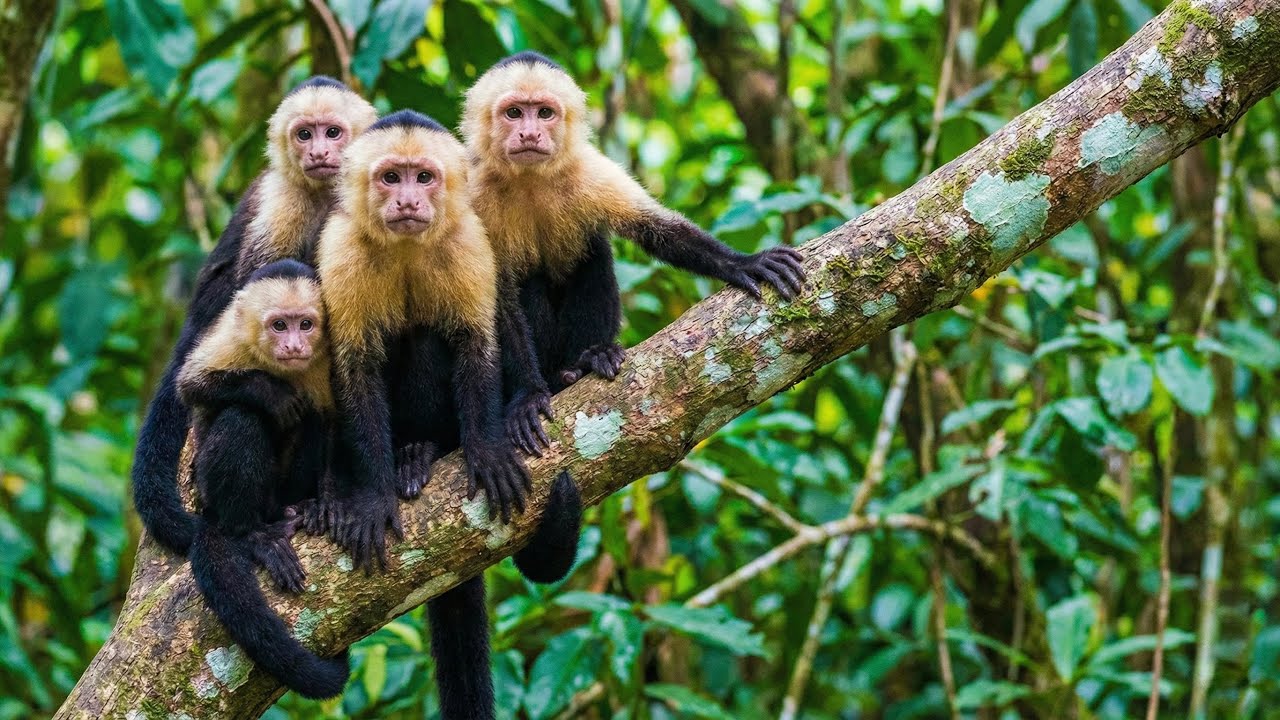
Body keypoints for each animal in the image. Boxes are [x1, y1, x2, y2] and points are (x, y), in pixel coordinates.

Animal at [179, 259, 349, 699]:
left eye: (306, 324)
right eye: (279, 326)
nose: (294, 346)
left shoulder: (327, 353)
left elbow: (332, 421)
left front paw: (328, 501)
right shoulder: (230, 336)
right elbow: (191, 386)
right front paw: (268, 391)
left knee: (310, 418)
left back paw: (301, 509)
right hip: (214, 493)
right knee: (243, 419)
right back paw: (251, 534)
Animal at [461, 51, 807, 456]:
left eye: (544, 113)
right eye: (514, 113)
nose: (530, 134)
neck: (529, 178)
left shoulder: (590, 170)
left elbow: (657, 230)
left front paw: (744, 264)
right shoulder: (473, 191)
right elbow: (497, 298)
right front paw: (528, 395)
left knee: (592, 252)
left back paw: (589, 358)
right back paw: (559, 377)